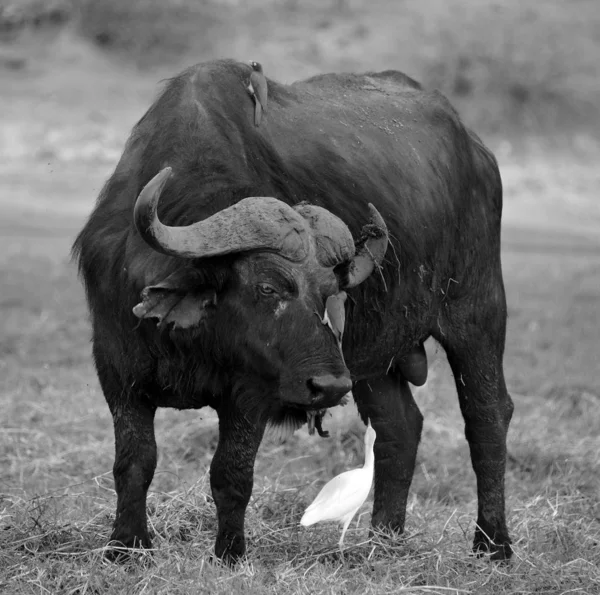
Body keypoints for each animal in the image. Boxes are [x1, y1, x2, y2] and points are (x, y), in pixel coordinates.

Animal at [72, 59, 512, 564]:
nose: (329, 386)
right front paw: (125, 546)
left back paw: (493, 544)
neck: (193, 335)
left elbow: (231, 473)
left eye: (329, 294)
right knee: (399, 428)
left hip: (476, 314)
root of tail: (477, 151)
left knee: (487, 417)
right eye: (268, 287)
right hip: (374, 359)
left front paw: (229, 554)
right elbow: (134, 462)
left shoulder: (251, 392)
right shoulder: (118, 373)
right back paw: (383, 539)